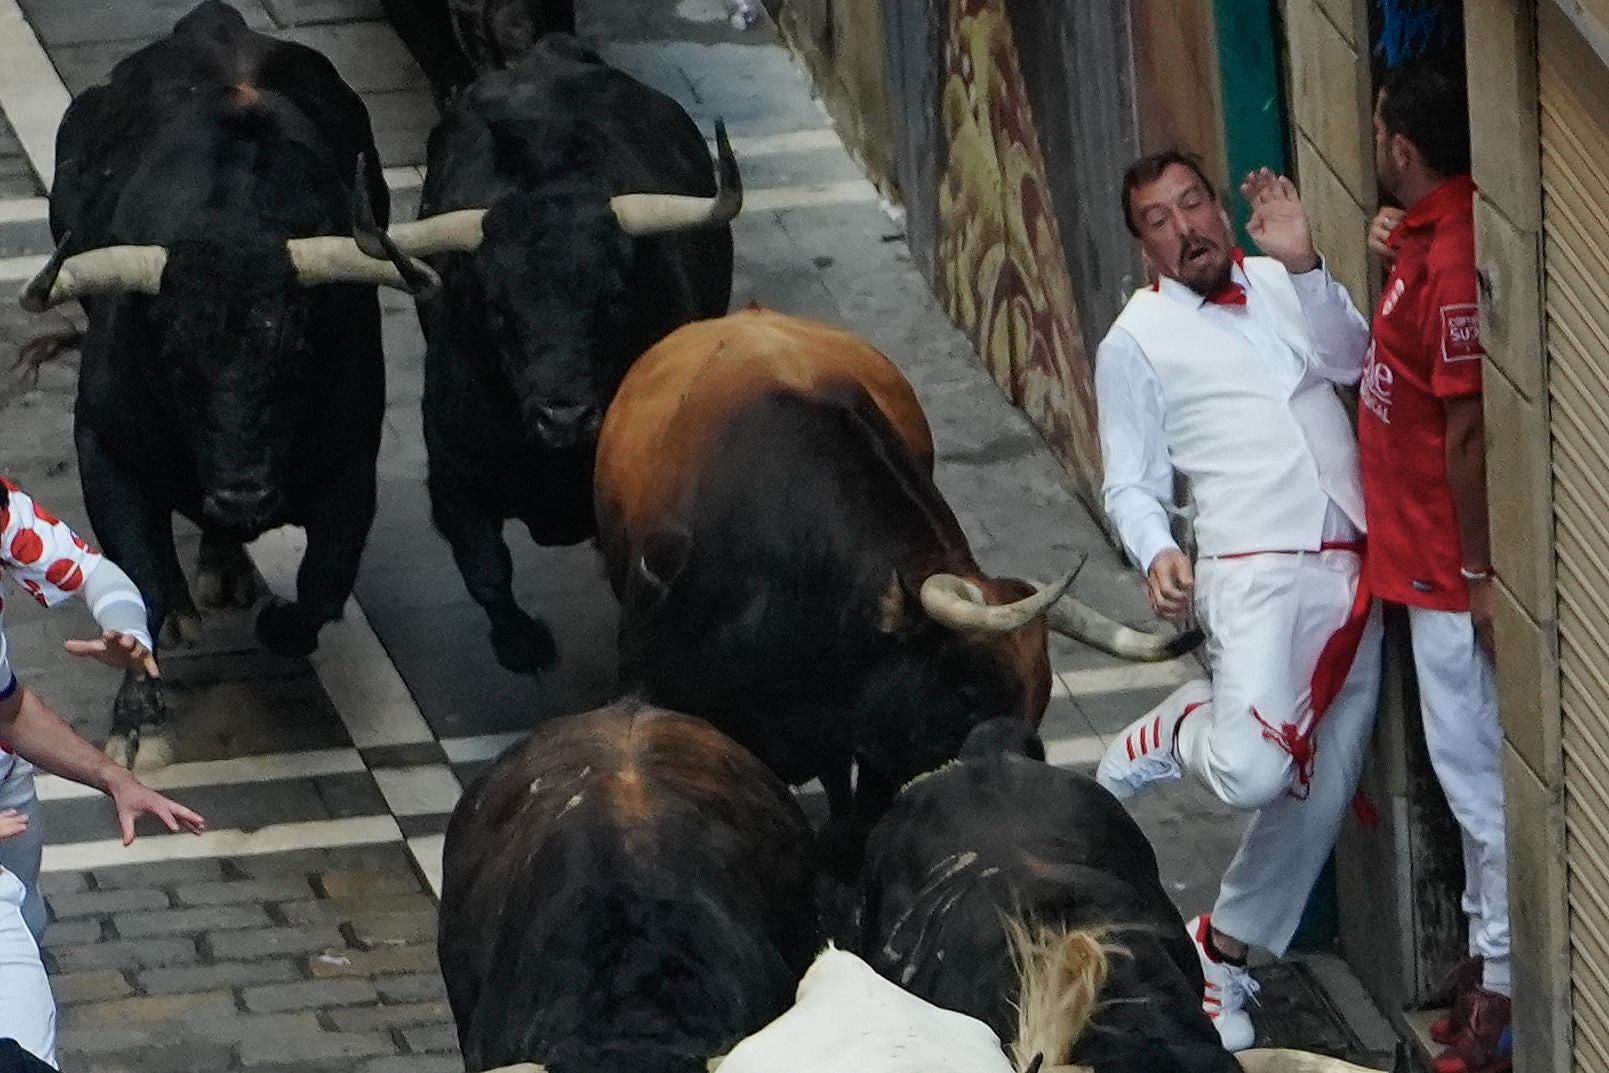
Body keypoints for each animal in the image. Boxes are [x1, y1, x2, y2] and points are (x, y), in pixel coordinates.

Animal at [20, 2, 434, 772]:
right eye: (175, 363)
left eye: (297, 359)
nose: (243, 495)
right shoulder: (105, 447)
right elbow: (144, 582)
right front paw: (137, 723)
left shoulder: (350, 460)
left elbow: (323, 585)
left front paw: (275, 621)